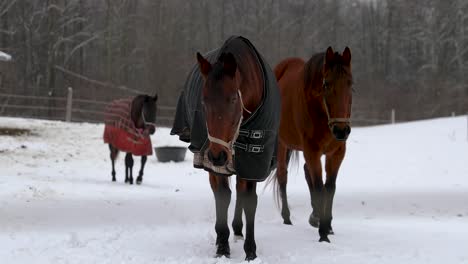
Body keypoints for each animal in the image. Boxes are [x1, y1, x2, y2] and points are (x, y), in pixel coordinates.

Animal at [172, 36, 282, 260]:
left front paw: (251, 250)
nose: (217, 156)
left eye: (232, 99)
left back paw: (238, 230)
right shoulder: (215, 165)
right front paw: (222, 246)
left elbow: (249, 200)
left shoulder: (253, 160)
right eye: (203, 101)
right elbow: (223, 197)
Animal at [274, 47, 352, 243]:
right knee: (282, 175)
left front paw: (327, 225)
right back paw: (287, 218)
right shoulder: (312, 150)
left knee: (305, 171)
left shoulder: (336, 153)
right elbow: (319, 187)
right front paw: (323, 234)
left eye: (350, 83)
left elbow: (329, 187)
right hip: (281, 144)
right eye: (326, 84)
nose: (341, 130)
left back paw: (315, 215)